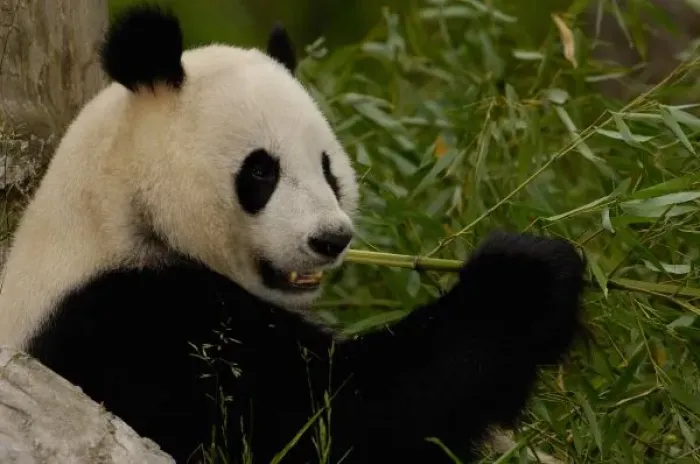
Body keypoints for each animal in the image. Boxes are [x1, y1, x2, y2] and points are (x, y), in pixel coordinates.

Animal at [0, 4, 586, 464]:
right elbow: (323, 421)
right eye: (261, 171)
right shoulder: (129, 324)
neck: (121, 210)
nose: (330, 239)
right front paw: (525, 280)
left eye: (329, 169)